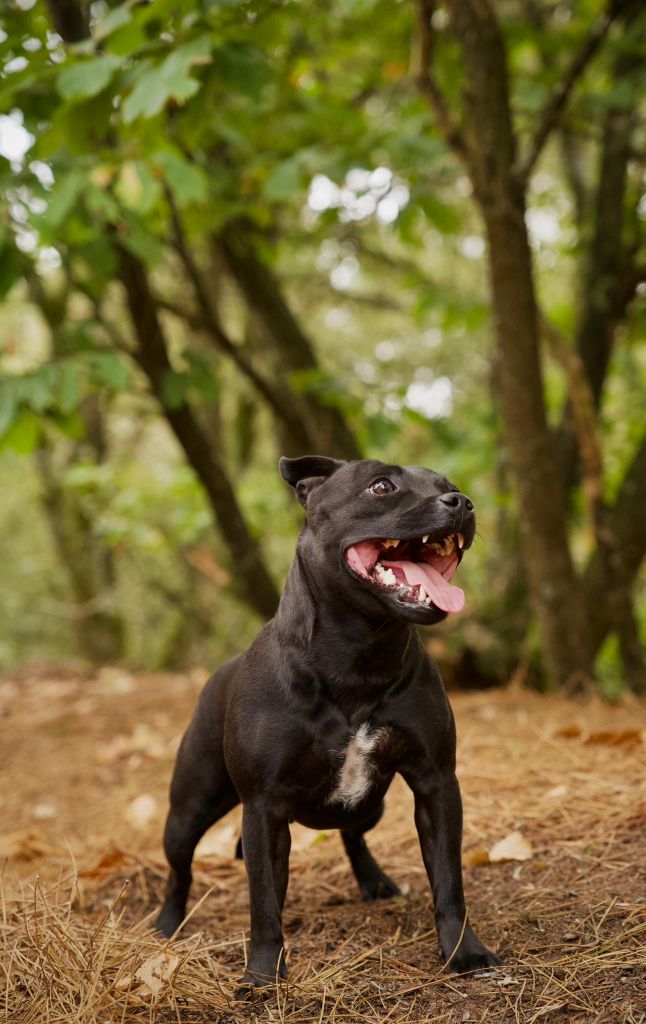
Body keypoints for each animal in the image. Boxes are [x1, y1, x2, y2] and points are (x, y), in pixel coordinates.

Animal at [156, 454, 499, 983]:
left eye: (451, 485)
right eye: (382, 486)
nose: (461, 502)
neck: (359, 657)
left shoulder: (436, 784)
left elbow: (448, 880)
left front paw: (463, 950)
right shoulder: (263, 808)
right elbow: (264, 903)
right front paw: (262, 975)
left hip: (371, 804)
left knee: (352, 834)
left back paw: (374, 882)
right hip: (190, 807)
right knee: (180, 868)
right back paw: (167, 925)